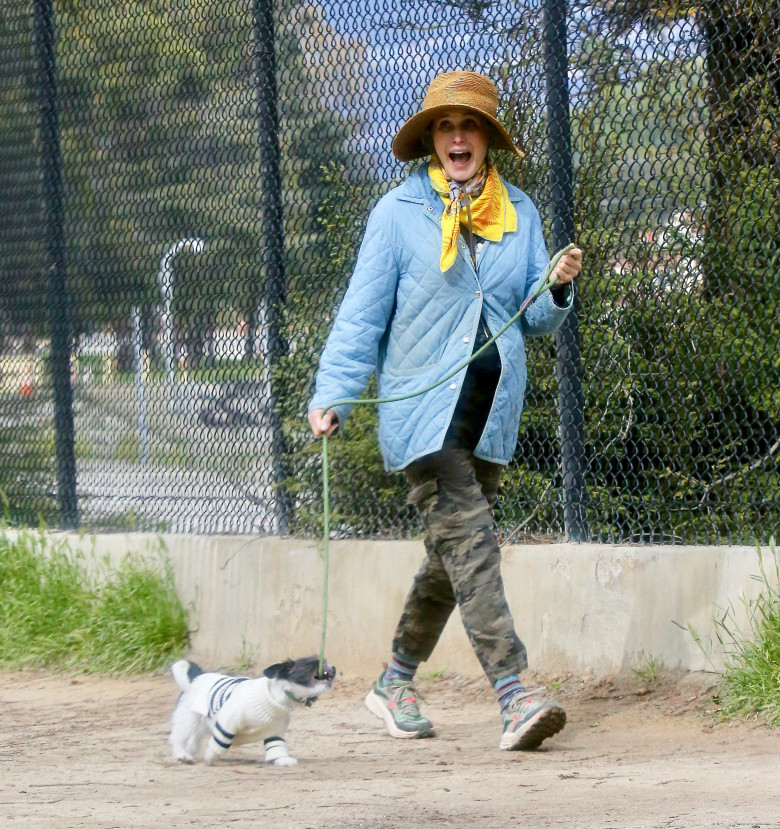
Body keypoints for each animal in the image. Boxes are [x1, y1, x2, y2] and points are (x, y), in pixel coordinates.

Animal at [169, 656, 336, 768]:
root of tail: (197, 675)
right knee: (178, 737)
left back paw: (190, 751)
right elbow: (219, 743)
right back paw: (182, 754)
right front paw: (211, 756)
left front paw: (283, 760)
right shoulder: (227, 723)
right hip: (188, 719)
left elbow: (277, 747)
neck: (275, 697)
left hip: (202, 723)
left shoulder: (274, 730)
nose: (334, 668)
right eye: (313, 664)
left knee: (194, 739)